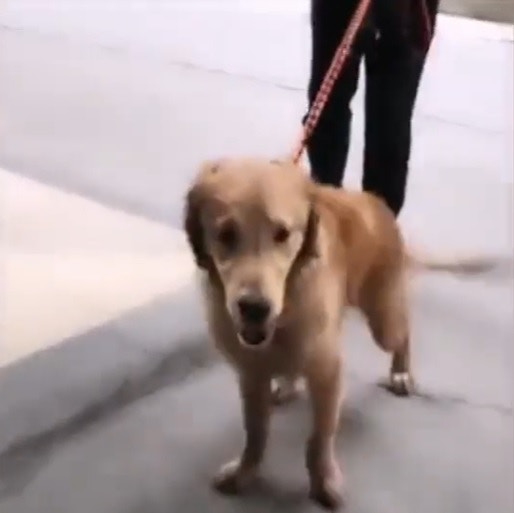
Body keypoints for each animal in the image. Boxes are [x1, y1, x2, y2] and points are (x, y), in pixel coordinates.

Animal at [183, 156, 497, 510]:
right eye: (225, 233)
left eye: (283, 234)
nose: (254, 308)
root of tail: (378, 203)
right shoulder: (251, 374)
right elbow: (255, 432)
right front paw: (244, 472)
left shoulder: (328, 373)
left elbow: (318, 440)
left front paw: (323, 483)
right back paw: (288, 385)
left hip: (383, 319)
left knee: (403, 331)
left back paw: (401, 372)